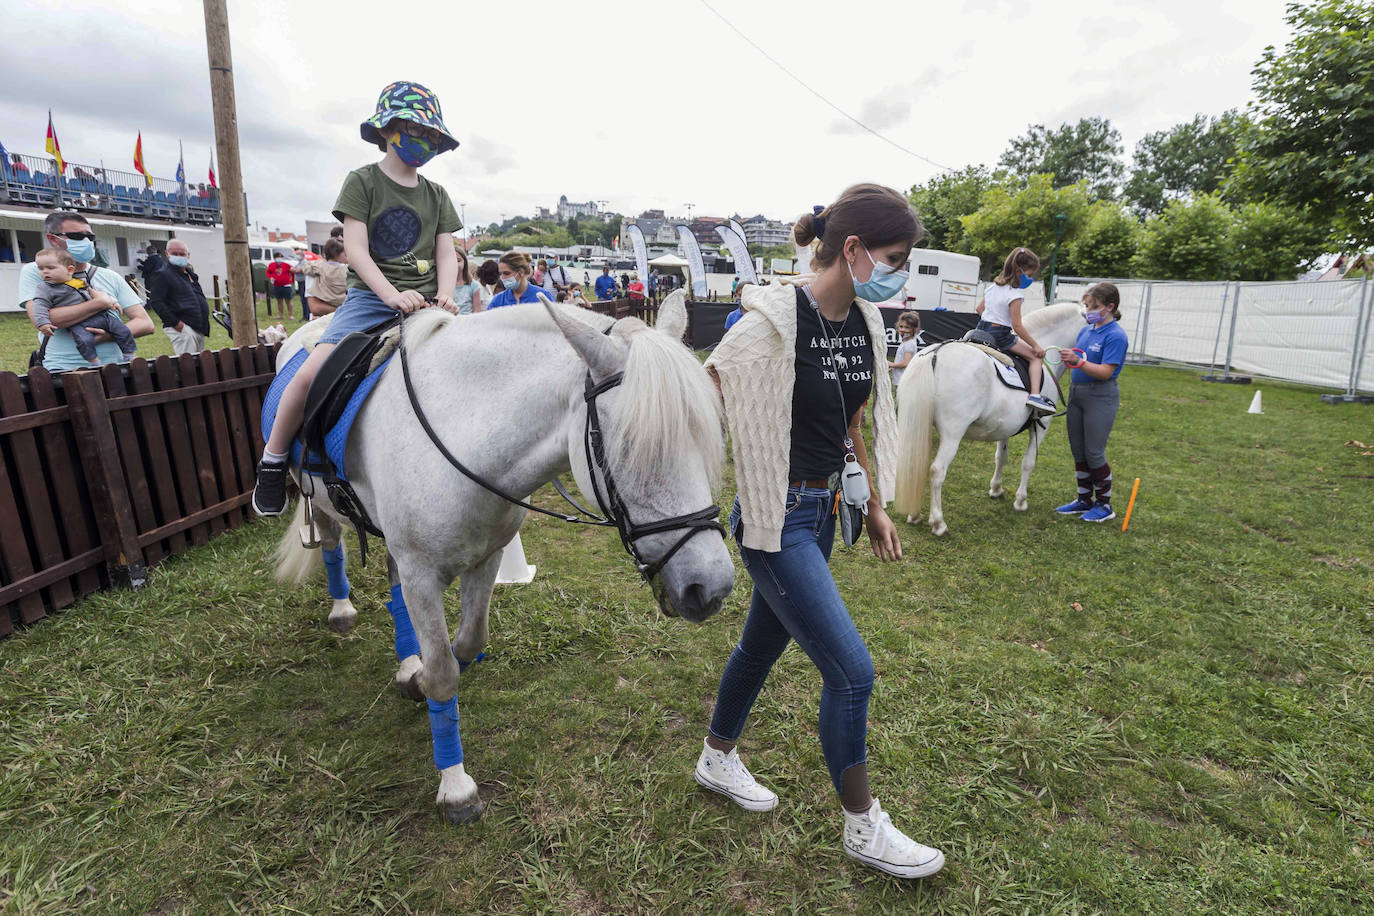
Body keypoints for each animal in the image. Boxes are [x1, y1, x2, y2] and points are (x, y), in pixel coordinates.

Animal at [272, 292, 736, 823]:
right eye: (635, 448)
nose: (712, 586)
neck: (462, 429)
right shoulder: (421, 574)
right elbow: (445, 674)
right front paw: (456, 787)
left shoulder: (486, 557)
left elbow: (467, 643)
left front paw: (419, 679)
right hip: (319, 500)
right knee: (331, 544)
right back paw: (343, 610)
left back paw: (407, 665)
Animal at [895, 304, 1088, 538]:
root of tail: (934, 354)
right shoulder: (1041, 427)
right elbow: (1028, 463)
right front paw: (1020, 501)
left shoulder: (1005, 427)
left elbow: (1001, 458)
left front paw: (996, 489)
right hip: (952, 434)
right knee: (936, 471)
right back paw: (938, 523)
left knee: (915, 464)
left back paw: (914, 515)